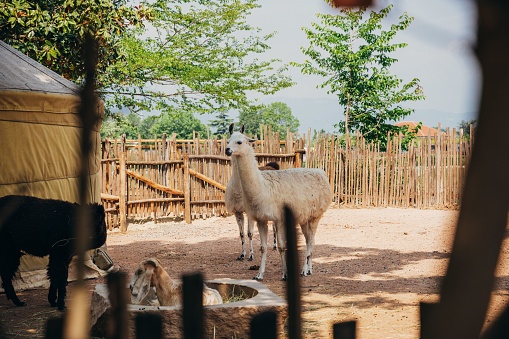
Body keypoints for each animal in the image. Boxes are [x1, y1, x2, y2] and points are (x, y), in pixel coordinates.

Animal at [225, 125, 330, 282]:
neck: (263, 188)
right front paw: (259, 274)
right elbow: (263, 247)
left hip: (316, 215)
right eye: (227, 141)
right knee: (309, 240)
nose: (227, 150)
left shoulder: (279, 218)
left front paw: (285, 274)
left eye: (239, 142)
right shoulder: (261, 219)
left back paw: (304, 270)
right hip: (304, 217)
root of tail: (321, 172)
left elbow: (281, 246)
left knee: (310, 241)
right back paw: (309, 269)